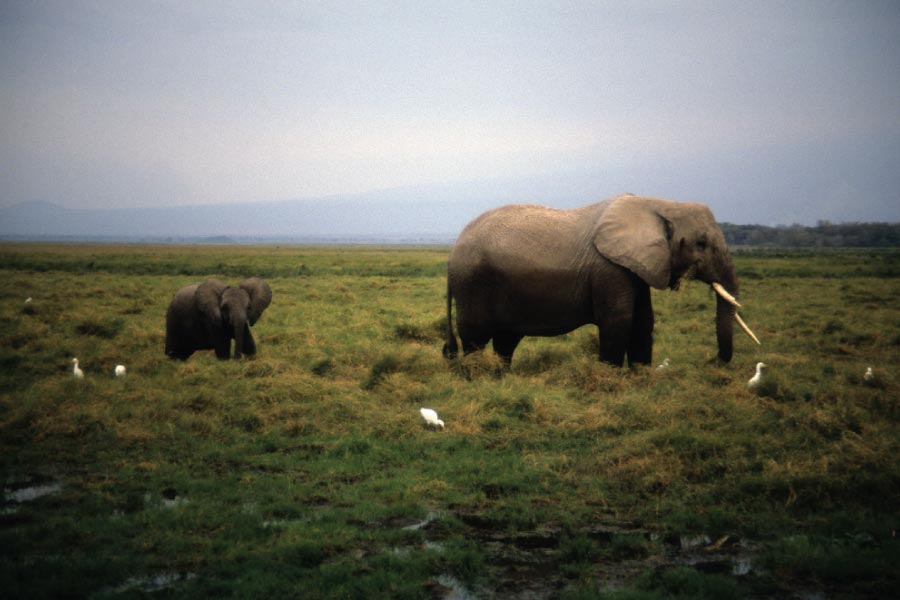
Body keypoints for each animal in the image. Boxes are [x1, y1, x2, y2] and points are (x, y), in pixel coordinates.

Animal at [442, 194, 759, 368]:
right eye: (701, 243)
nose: (711, 361)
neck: (659, 204)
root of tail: (453, 250)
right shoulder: (609, 269)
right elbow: (619, 321)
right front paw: (611, 380)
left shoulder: (635, 267)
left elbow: (644, 322)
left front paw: (639, 378)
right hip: (473, 283)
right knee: (475, 337)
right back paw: (478, 378)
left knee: (506, 339)